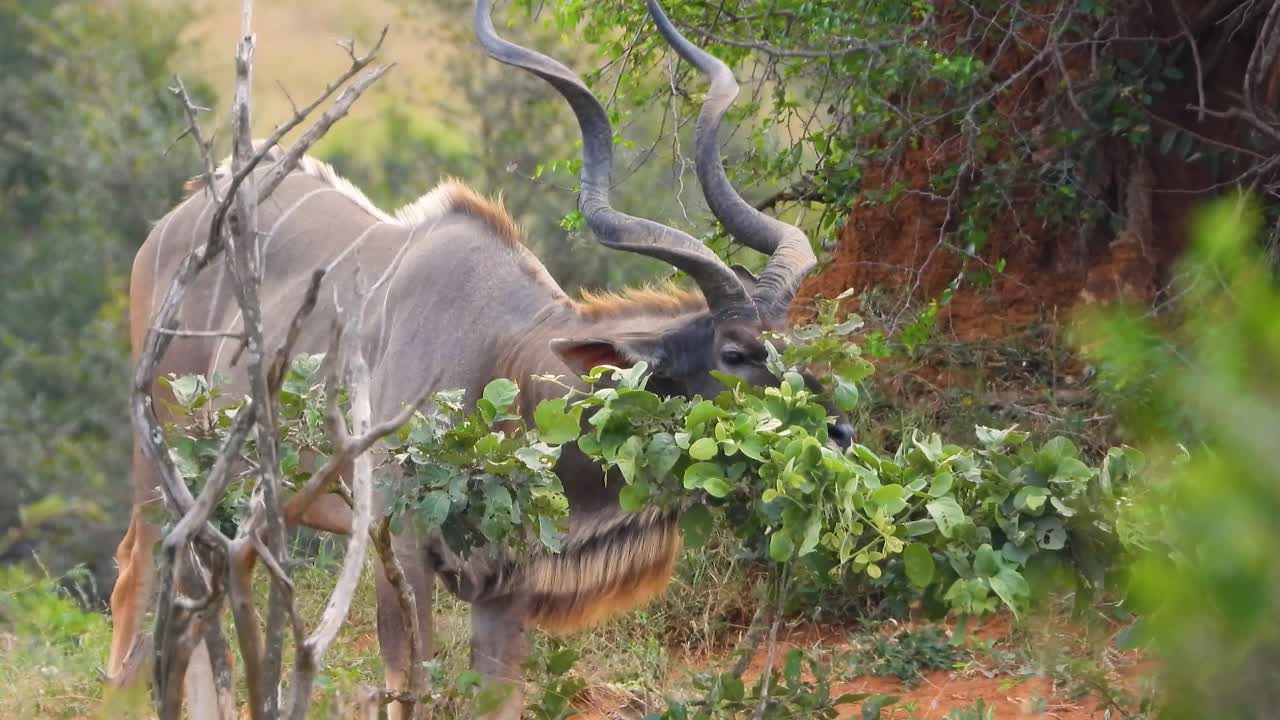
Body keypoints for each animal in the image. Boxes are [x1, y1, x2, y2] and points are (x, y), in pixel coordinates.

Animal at [106, 0, 853, 717]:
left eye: (791, 341)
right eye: (734, 351)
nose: (840, 431)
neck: (505, 360)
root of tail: (175, 223)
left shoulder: (504, 587)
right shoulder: (398, 543)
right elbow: (408, 681)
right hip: (165, 469)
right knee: (141, 584)